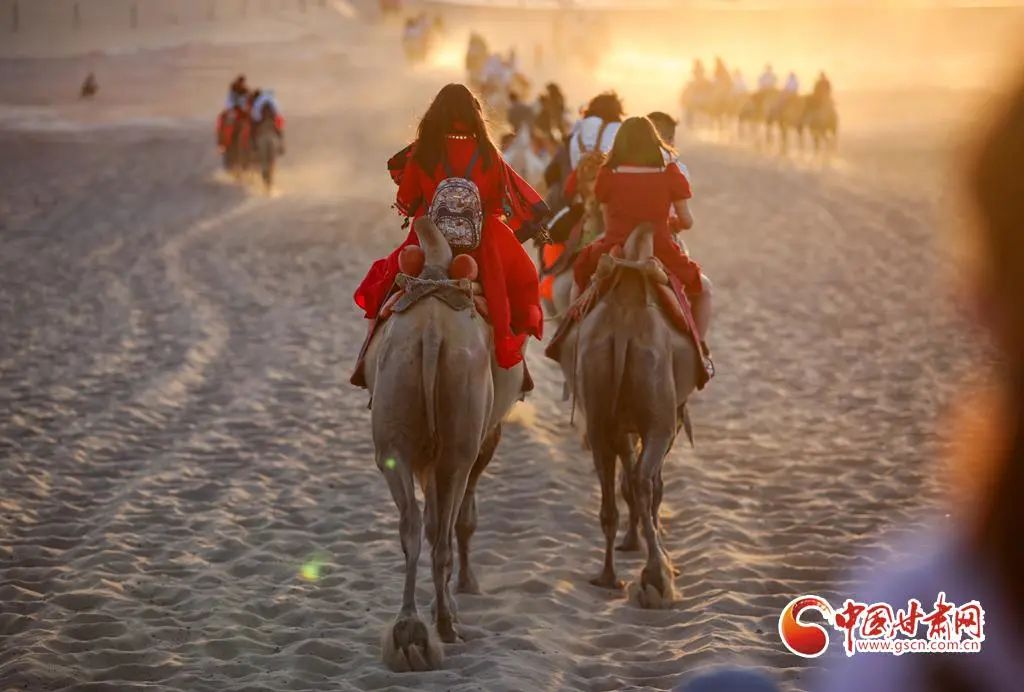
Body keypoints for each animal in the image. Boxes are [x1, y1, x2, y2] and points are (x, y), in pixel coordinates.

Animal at [362, 218, 524, 671]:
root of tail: (432, 333)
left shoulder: (421, 455)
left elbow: (431, 519)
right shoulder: (485, 436)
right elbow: (459, 520)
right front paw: (465, 588)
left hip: (394, 432)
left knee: (413, 525)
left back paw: (409, 631)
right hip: (459, 439)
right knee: (443, 530)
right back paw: (446, 625)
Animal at [548, 224, 700, 610]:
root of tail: (623, 328)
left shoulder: (618, 423)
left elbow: (626, 476)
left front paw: (633, 540)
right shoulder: (669, 418)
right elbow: (651, 482)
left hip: (599, 405)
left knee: (610, 489)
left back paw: (608, 576)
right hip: (659, 415)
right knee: (645, 481)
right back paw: (658, 578)